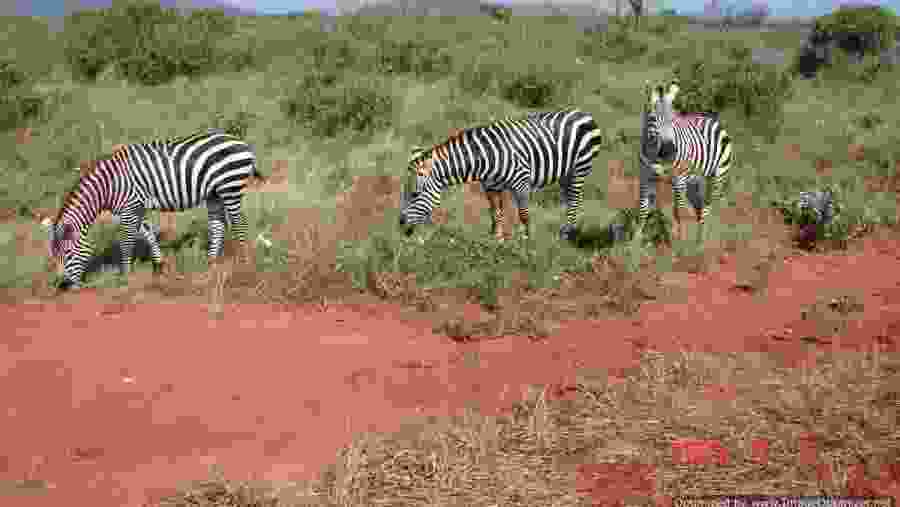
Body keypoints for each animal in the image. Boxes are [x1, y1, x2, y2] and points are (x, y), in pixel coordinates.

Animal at [42, 129, 263, 289]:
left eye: (68, 254)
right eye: (54, 256)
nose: (64, 287)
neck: (108, 186)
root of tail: (241, 142)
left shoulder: (129, 208)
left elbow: (127, 241)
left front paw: (125, 275)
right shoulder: (136, 208)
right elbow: (147, 234)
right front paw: (160, 265)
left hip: (230, 186)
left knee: (239, 222)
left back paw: (243, 261)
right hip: (214, 193)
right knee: (218, 225)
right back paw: (211, 261)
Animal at [399, 109, 604, 242]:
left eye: (415, 194)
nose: (400, 226)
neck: (485, 158)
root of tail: (583, 113)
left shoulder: (521, 183)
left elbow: (523, 214)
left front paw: (525, 241)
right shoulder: (490, 186)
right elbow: (495, 213)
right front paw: (497, 240)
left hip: (580, 169)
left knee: (574, 201)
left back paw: (567, 235)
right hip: (565, 174)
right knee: (568, 199)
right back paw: (564, 231)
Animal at [638, 80, 733, 241]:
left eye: (674, 120)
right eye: (653, 119)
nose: (670, 150)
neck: (655, 155)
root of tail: (710, 120)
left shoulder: (680, 180)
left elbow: (678, 211)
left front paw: (677, 240)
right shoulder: (646, 177)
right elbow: (643, 209)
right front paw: (635, 240)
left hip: (718, 177)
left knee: (707, 207)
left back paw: (700, 240)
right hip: (696, 179)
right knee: (699, 205)